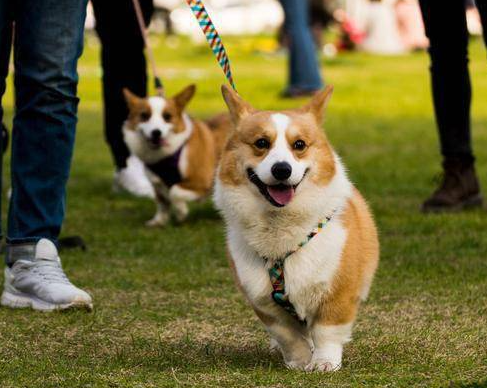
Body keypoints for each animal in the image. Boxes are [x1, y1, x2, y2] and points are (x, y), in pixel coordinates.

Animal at [122, 83, 229, 226]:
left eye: (167, 116)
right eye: (144, 115)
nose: (156, 133)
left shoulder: (201, 180)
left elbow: (174, 192)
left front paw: (181, 213)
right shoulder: (157, 183)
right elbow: (162, 202)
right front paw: (159, 221)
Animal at [214, 85, 382, 372]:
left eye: (299, 145)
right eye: (261, 143)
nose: (282, 170)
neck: (282, 227)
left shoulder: (338, 292)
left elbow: (327, 330)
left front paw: (324, 363)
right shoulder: (265, 303)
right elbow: (288, 336)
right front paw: (299, 361)